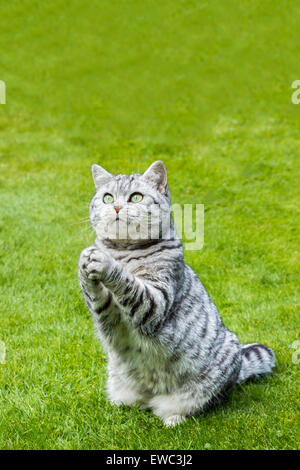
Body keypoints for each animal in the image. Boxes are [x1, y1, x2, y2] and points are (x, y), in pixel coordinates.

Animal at [78, 161, 276, 426]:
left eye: (136, 197)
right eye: (108, 198)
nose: (117, 207)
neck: (124, 251)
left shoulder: (155, 302)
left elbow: (129, 282)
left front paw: (106, 262)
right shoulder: (107, 313)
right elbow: (94, 293)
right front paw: (86, 260)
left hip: (198, 390)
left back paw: (173, 418)